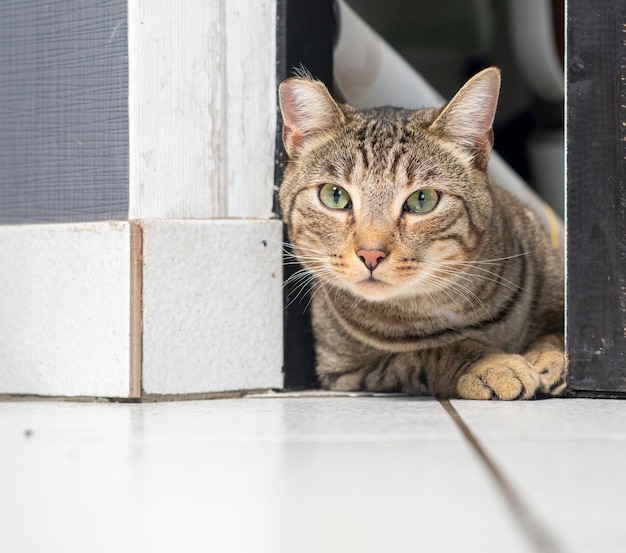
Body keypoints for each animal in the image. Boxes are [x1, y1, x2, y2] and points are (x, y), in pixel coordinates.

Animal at [278, 67, 564, 398]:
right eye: (334, 196)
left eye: (422, 199)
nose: (370, 254)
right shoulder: (344, 370)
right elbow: (432, 350)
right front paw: (492, 364)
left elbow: (560, 328)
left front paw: (550, 355)